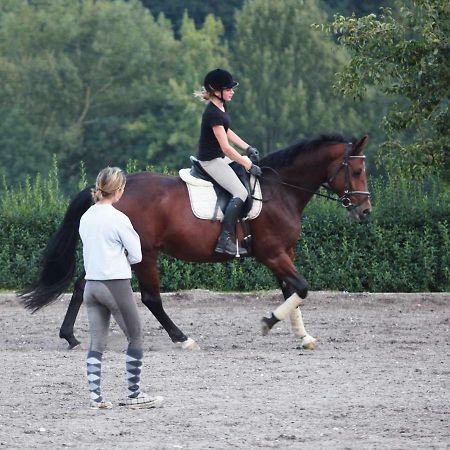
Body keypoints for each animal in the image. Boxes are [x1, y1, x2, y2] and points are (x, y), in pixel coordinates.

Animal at [20, 134, 372, 352]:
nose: (365, 211)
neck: (280, 190)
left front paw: (304, 337)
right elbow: (301, 288)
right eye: (356, 170)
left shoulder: (285, 252)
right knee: (150, 298)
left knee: (84, 284)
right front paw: (269, 322)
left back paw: (70, 337)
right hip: (144, 253)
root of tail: (108, 192)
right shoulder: (272, 254)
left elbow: (292, 293)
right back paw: (183, 339)